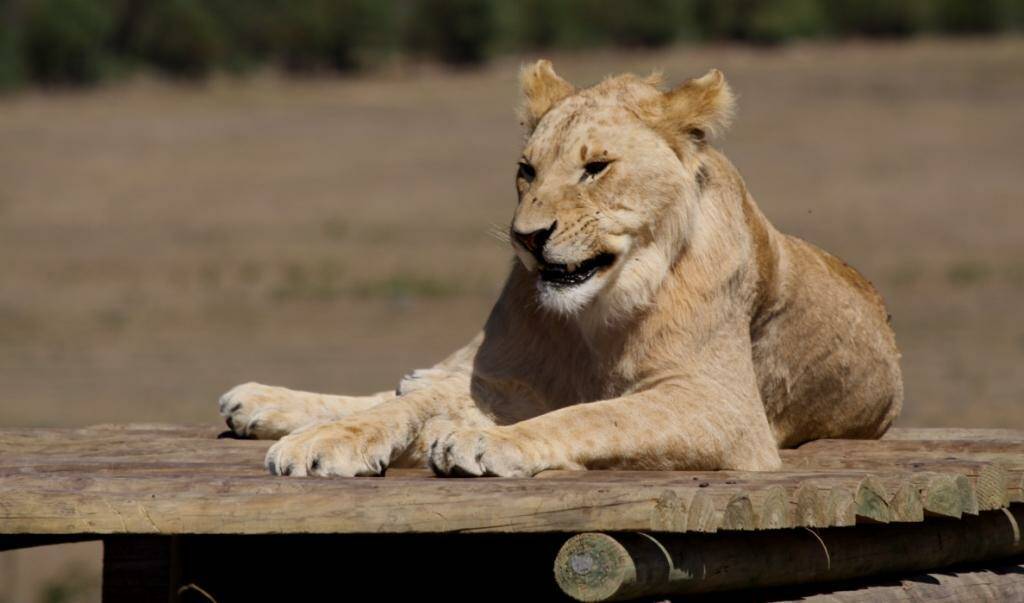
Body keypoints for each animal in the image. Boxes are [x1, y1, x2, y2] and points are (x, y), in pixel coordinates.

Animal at [218, 59, 905, 475]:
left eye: (595, 168)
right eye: (526, 170)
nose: (526, 238)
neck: (598, 316)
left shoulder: (725, 411)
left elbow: (597, 413)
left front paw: (486, 442)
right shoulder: (507, 379)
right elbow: (398, 408)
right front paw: (322, 440)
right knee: (413, 385)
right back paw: (259, 401)